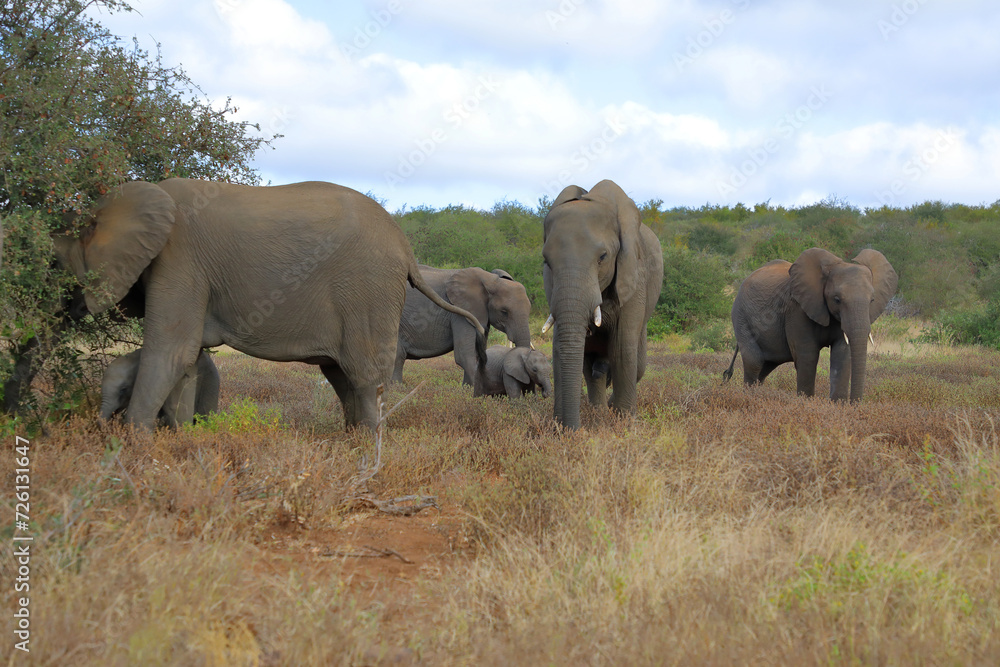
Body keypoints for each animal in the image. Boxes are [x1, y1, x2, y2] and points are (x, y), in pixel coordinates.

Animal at [52, 180, 486, 434]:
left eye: (55, 264)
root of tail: (403, 243)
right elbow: (187, 360)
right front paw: (180, 441)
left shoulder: (180, 261)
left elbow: (170, 351)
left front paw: (134, 448)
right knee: (340, 374)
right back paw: (350, 442)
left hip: (367, 288)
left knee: (363, 375)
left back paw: (367, 451)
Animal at [540, 180, 664, 430]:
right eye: (546, 261)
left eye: (603, 257)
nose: (571, 430)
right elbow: (561, 348)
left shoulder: (634, 275)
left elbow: (622, 348)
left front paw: (625, 424)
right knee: (591, 364)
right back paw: (598, 411)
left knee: (637, 364)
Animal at [728, 247, 900, 400]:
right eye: (837, 299)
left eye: (872, 300)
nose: (854, 403)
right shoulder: (797, 309)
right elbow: (808, 355)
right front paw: (806, 402)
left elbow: (842, 355)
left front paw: (839, 406)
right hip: (740, 316)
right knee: (755, 361)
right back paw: (749, 396)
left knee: (766, 366)